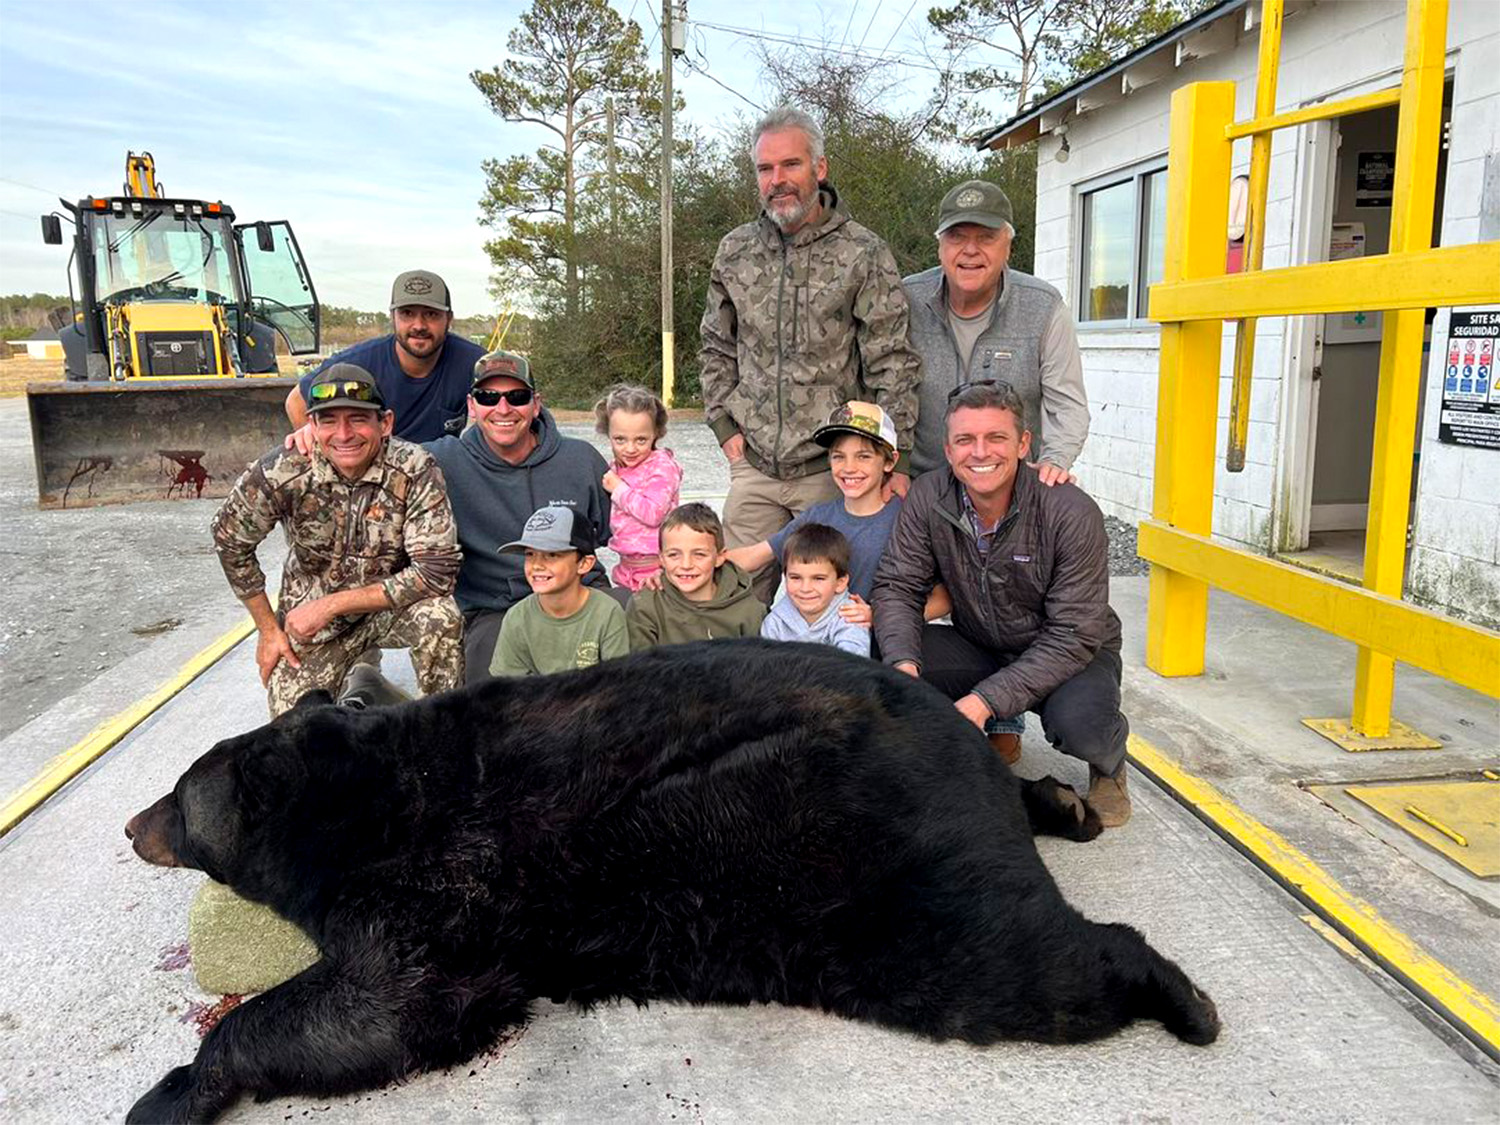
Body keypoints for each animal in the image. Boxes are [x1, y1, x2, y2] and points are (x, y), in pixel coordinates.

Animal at [123, 639, 1212, 1122]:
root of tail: (939, 719)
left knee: (1015, 964)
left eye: (176, 797)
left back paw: (1182, 996)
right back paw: (1061, 807)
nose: (134, 826)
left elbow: (388, 1003)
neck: (356, 796)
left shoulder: (436, 878)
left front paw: (174, 1089)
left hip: (866, 872)